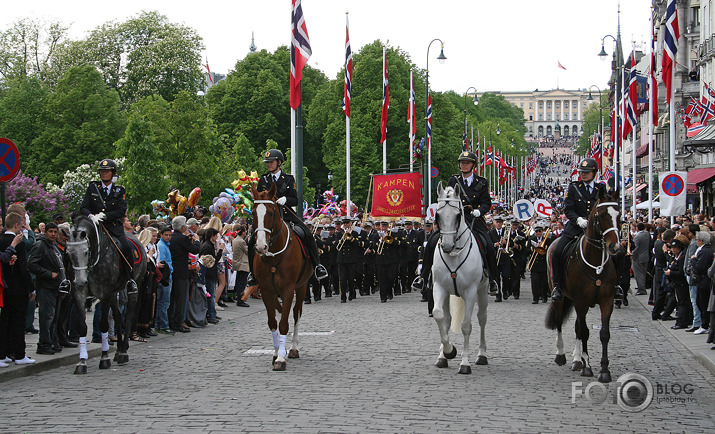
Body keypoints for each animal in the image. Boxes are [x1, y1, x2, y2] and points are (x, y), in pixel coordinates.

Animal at [67, 215, 147, 374]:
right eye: (69, 253)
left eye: (85, 251)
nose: (80, 281)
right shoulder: (79, 294)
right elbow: (82, 326)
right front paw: (82, 362)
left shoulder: (104, 293)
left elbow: (103, 324)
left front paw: (104, 358)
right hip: (114, 292)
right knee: (117, 315)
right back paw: (119, 350)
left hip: (135, 285)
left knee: (128, 316)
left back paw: (123, 352)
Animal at [252, 182, 310, 370]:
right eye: (253, 212)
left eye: (271, 212)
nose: (260, 247)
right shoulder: (266, 290)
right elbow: (273, 322)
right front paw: (277, 352)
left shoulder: (288, 289)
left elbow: (284, 323)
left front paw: (281, 358)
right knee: (279, 311)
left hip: (302, 287)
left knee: (296, 313)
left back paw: (293, 348)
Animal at [428, 181, 490, 374]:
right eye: (437, 215)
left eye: (457, 215)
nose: (447, 247)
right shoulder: (439, 287)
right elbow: (439, 315)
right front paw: (448, 352)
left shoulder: (470, 291)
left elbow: (466, 325)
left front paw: (464, 363)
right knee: (447, 319)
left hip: (483, 290)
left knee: (482, 318)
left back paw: (481, 355)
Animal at [548, 190, 620, 384]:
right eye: (601, 215)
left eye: (619, 215)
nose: (615, 246)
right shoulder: (581, 301)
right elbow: (585, 331)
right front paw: (588, 366)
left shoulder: (607, 301)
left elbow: (604, 333)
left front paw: (604, 370)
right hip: (561, 297)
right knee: (560, 321)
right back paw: (561, 355)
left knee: (576, 327)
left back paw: (576, 360)